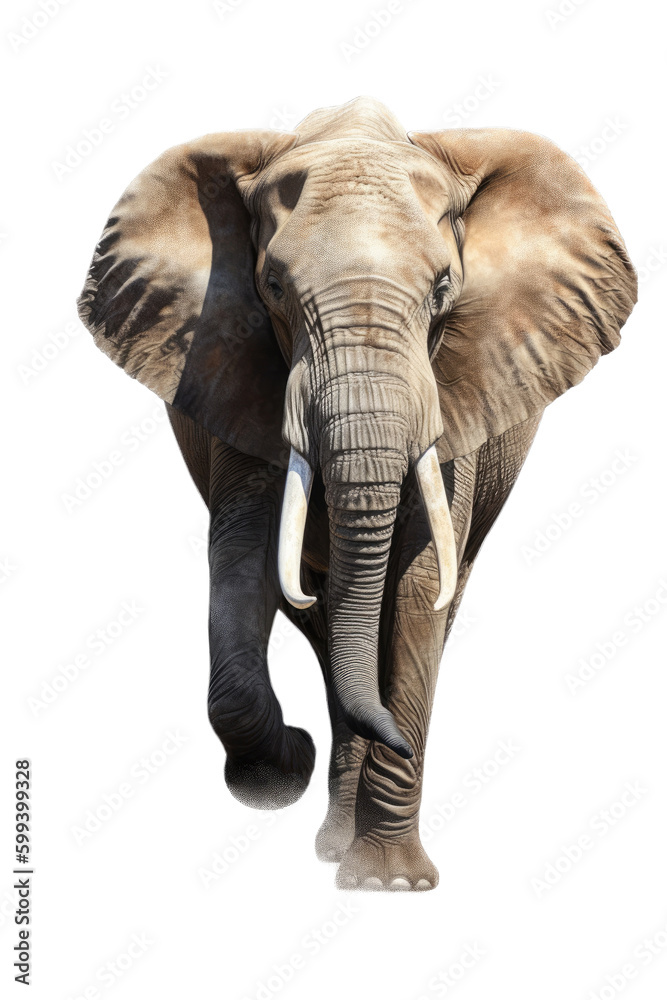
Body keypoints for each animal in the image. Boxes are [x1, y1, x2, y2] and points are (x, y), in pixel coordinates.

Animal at [77, 97, 636, 891]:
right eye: (274, 287)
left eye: (442, 288)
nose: (390, 741)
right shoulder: (234, 362)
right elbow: (242, 557)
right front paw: (288, 768)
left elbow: (418, 584)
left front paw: (389, 886)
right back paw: (331, 834)